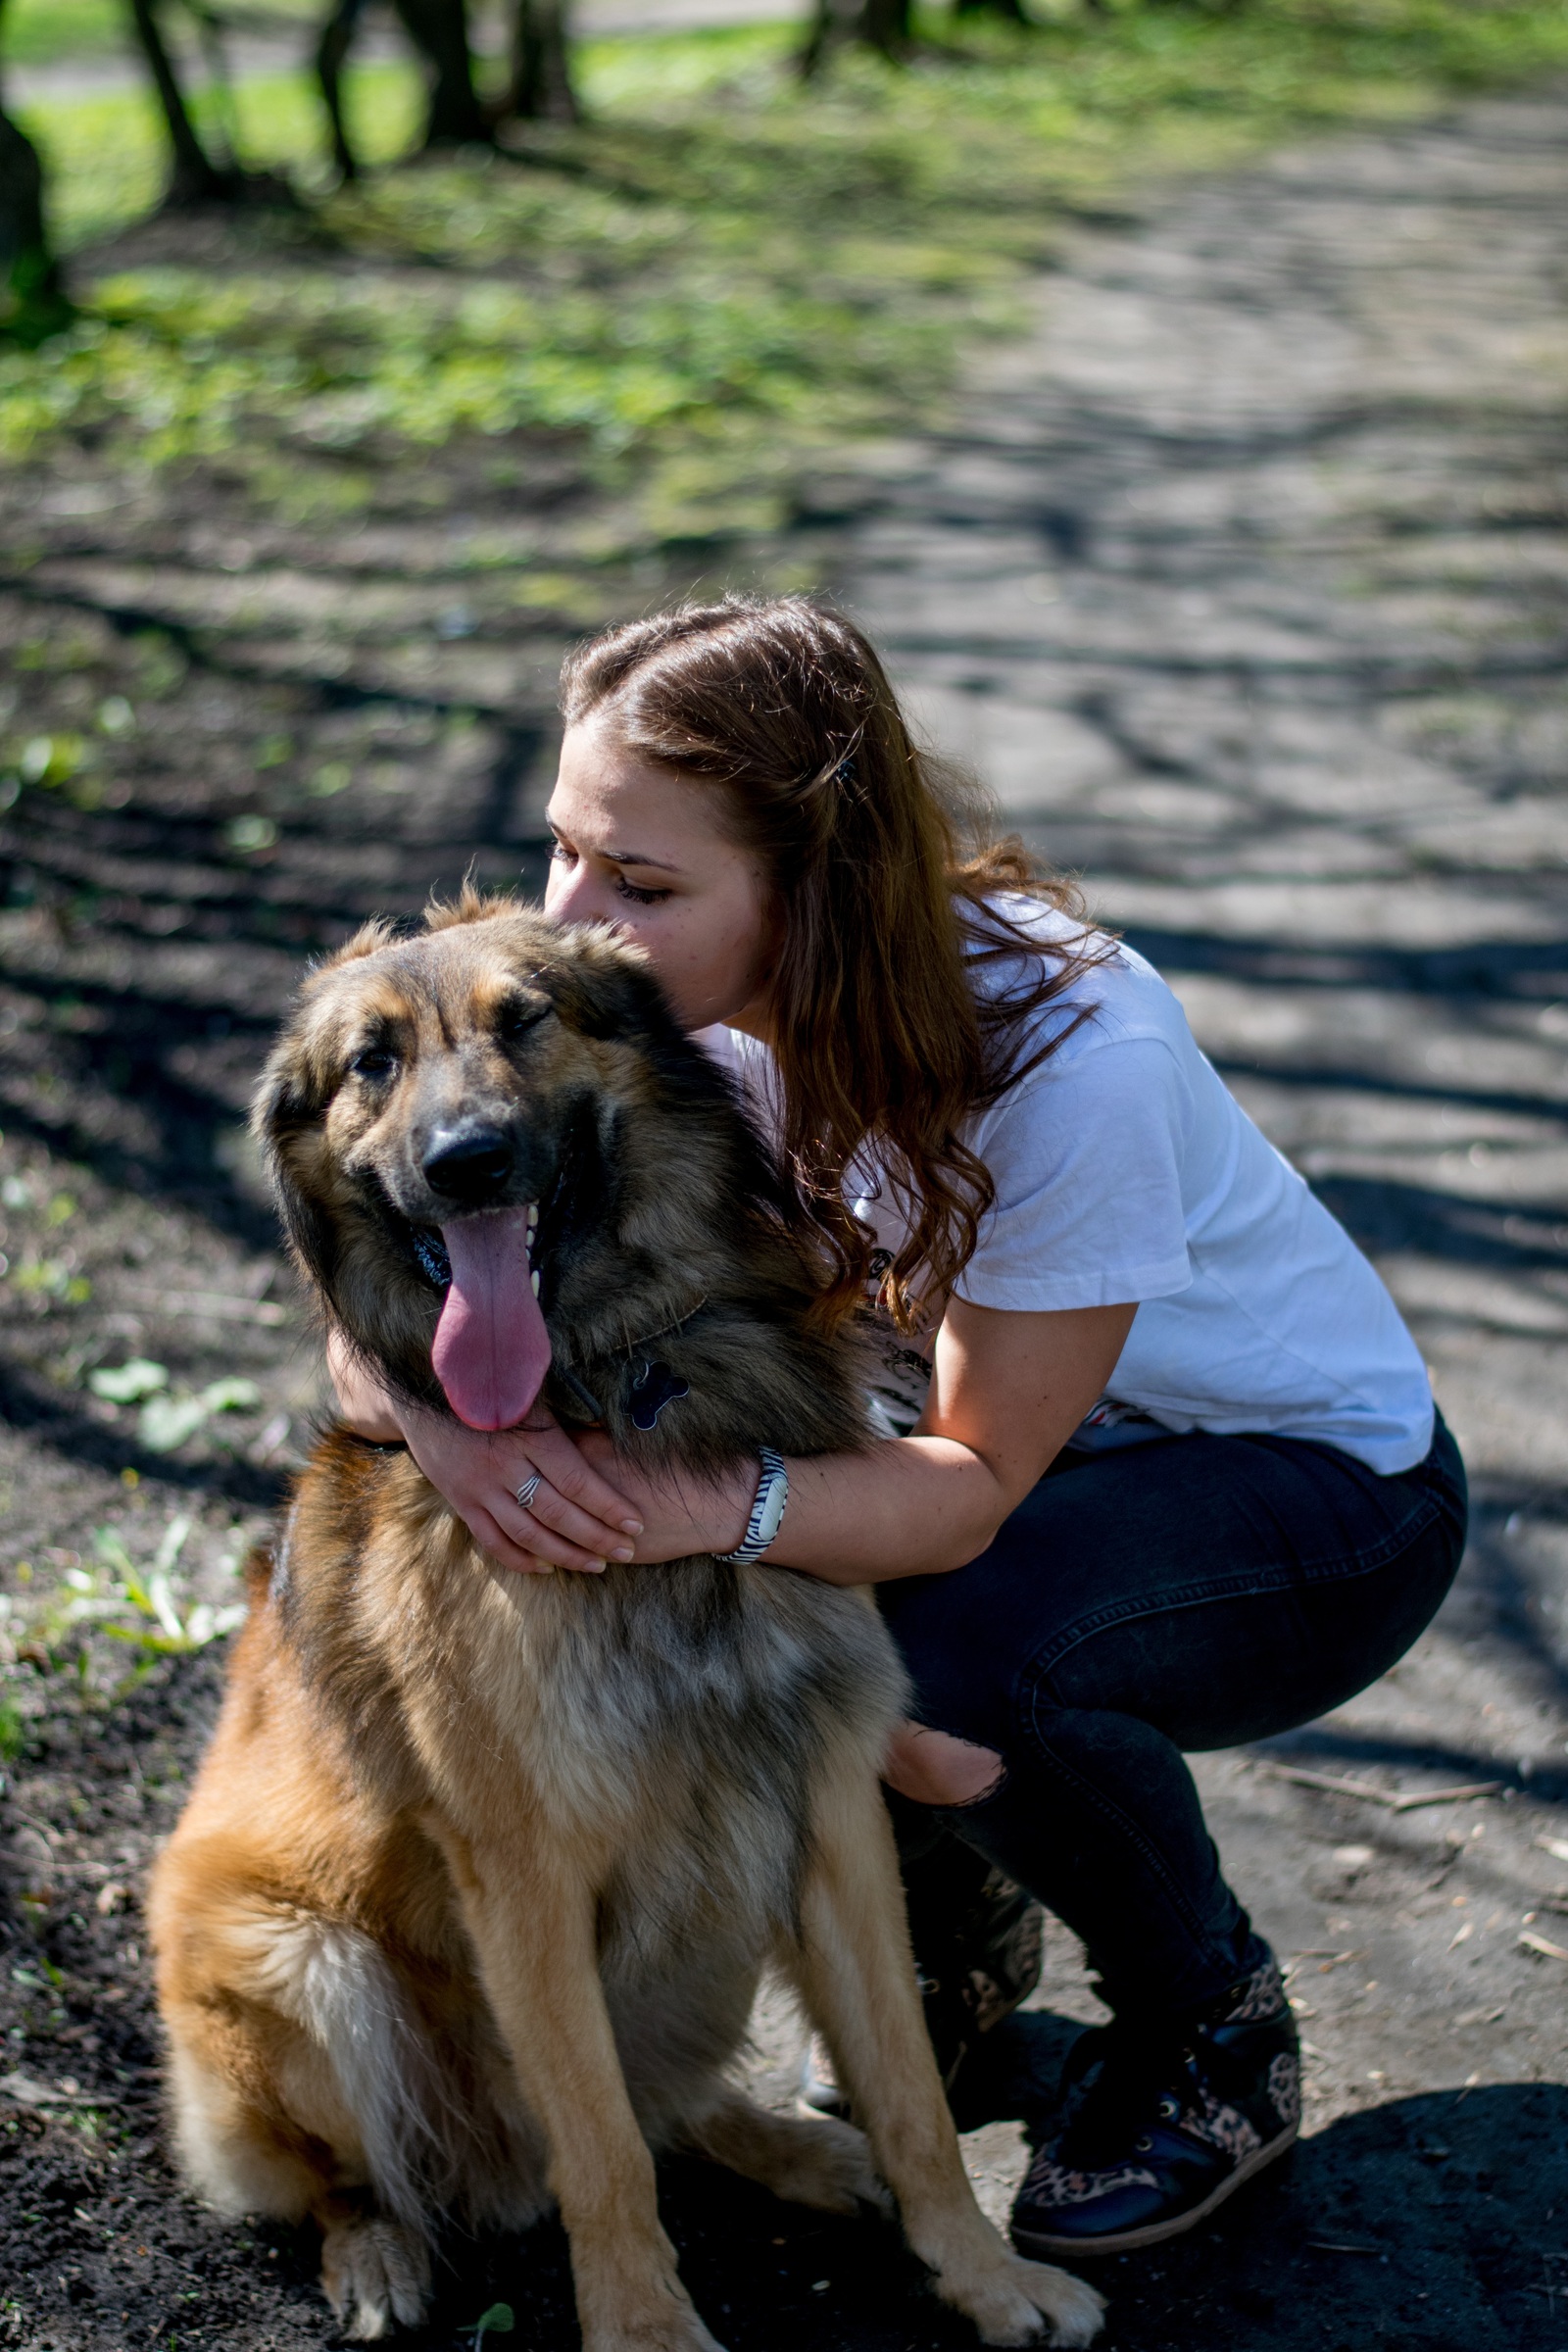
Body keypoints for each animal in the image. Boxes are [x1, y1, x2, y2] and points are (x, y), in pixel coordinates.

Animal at [146, 894, 1104, 2352]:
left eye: (525, 1019)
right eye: (371, 1061)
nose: (468, 1164)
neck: (614, 1379)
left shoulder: (828, 1808)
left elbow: (911, 2095)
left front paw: (983, 2276)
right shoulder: (525, 1869)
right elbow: (600, 2150)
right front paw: (647, 2330)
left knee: (675, 2106)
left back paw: (799, 2150)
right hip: (296, 1958)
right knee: (367, 2177)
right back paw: (378, 2252)